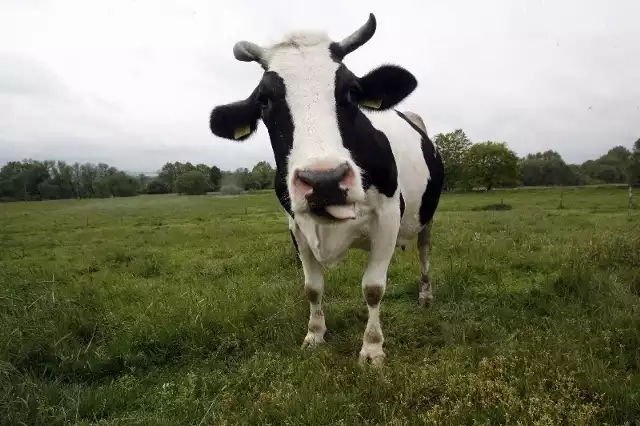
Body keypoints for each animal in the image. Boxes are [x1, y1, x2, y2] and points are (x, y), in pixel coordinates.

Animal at [210, 13, 444, 366]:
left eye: (351, 91)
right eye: (264, 100)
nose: (325, 180)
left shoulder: (388, 217)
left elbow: (373, 288)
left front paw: (372, 349)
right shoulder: (296, 225)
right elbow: (313, 287)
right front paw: (315, 335)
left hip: (426, 216)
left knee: (425, 251)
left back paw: (426, 297)